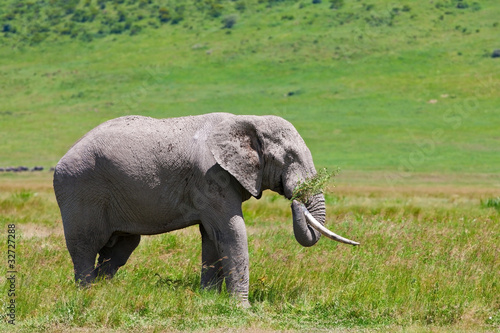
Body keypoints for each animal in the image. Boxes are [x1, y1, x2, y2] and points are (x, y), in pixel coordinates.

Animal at [53, 112, 360, 306]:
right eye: (290, 158)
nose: (295, 199)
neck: (249, 120)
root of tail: (61, 159)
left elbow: (212, 237)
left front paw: (208, 299)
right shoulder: (211, 177)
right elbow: (232, 232)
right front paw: (242, 309)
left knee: (118, 250)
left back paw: (104, 292)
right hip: (79, 188)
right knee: (85, 245)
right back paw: (87, 294)